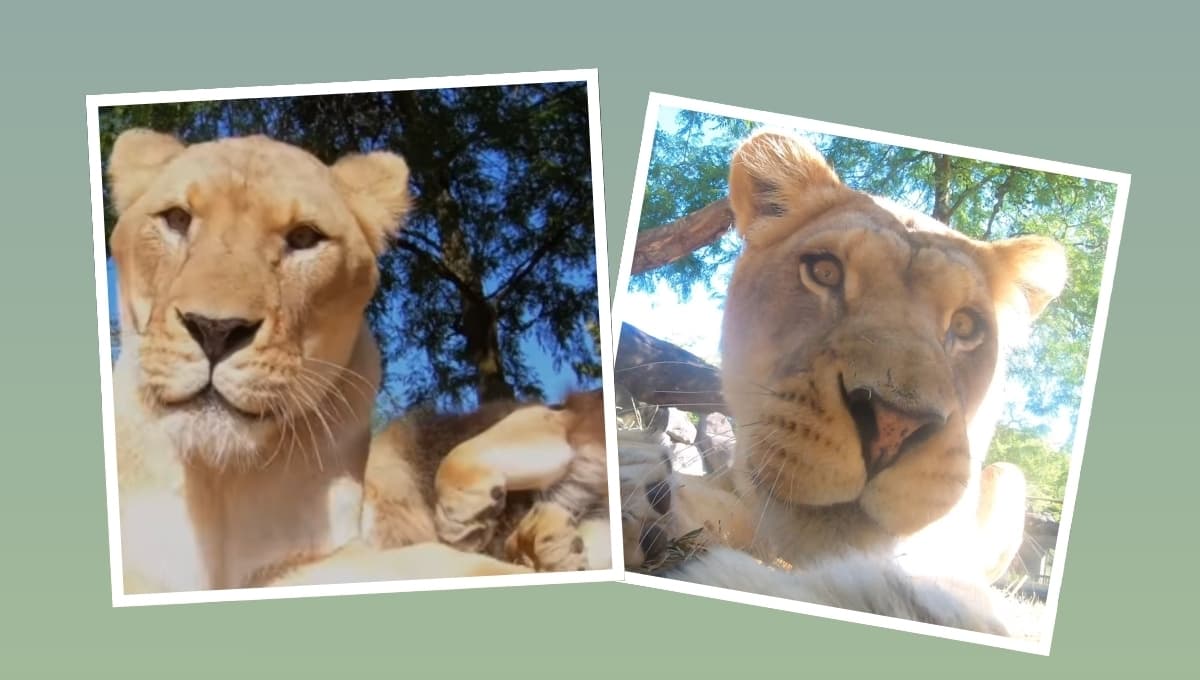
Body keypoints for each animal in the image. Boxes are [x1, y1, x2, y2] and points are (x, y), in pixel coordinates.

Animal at [107, 129, 531, 594]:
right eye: (177, 219)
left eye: (304, 237)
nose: (215, 330)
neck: (219, 481)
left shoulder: (305, 560)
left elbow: (428, 560)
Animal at [619, 129, 1068, 636]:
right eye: (825, 271)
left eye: (967, 326)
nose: (893, 426)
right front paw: (638, 487)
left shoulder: (944, 572)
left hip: (1009, 475)